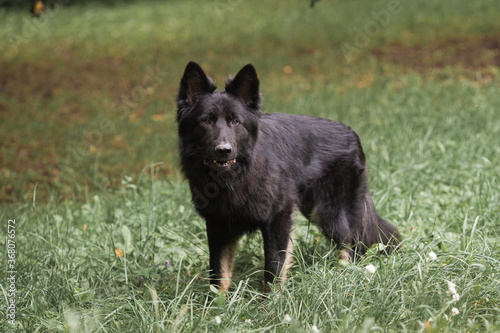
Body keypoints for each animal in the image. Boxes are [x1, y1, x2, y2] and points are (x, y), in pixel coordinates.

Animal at [178, 61, 400, 290]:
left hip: (332, 214)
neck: (237, 175)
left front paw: (270, 299)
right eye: (206, 121)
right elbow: (218, 273)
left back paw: (344, 279)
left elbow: (274, 267)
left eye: (235, 122)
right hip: (314, 210)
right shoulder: (218, 225)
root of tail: (353, 134)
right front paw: (216, 300)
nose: (223, 150)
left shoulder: (278, 217)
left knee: (350, 245)